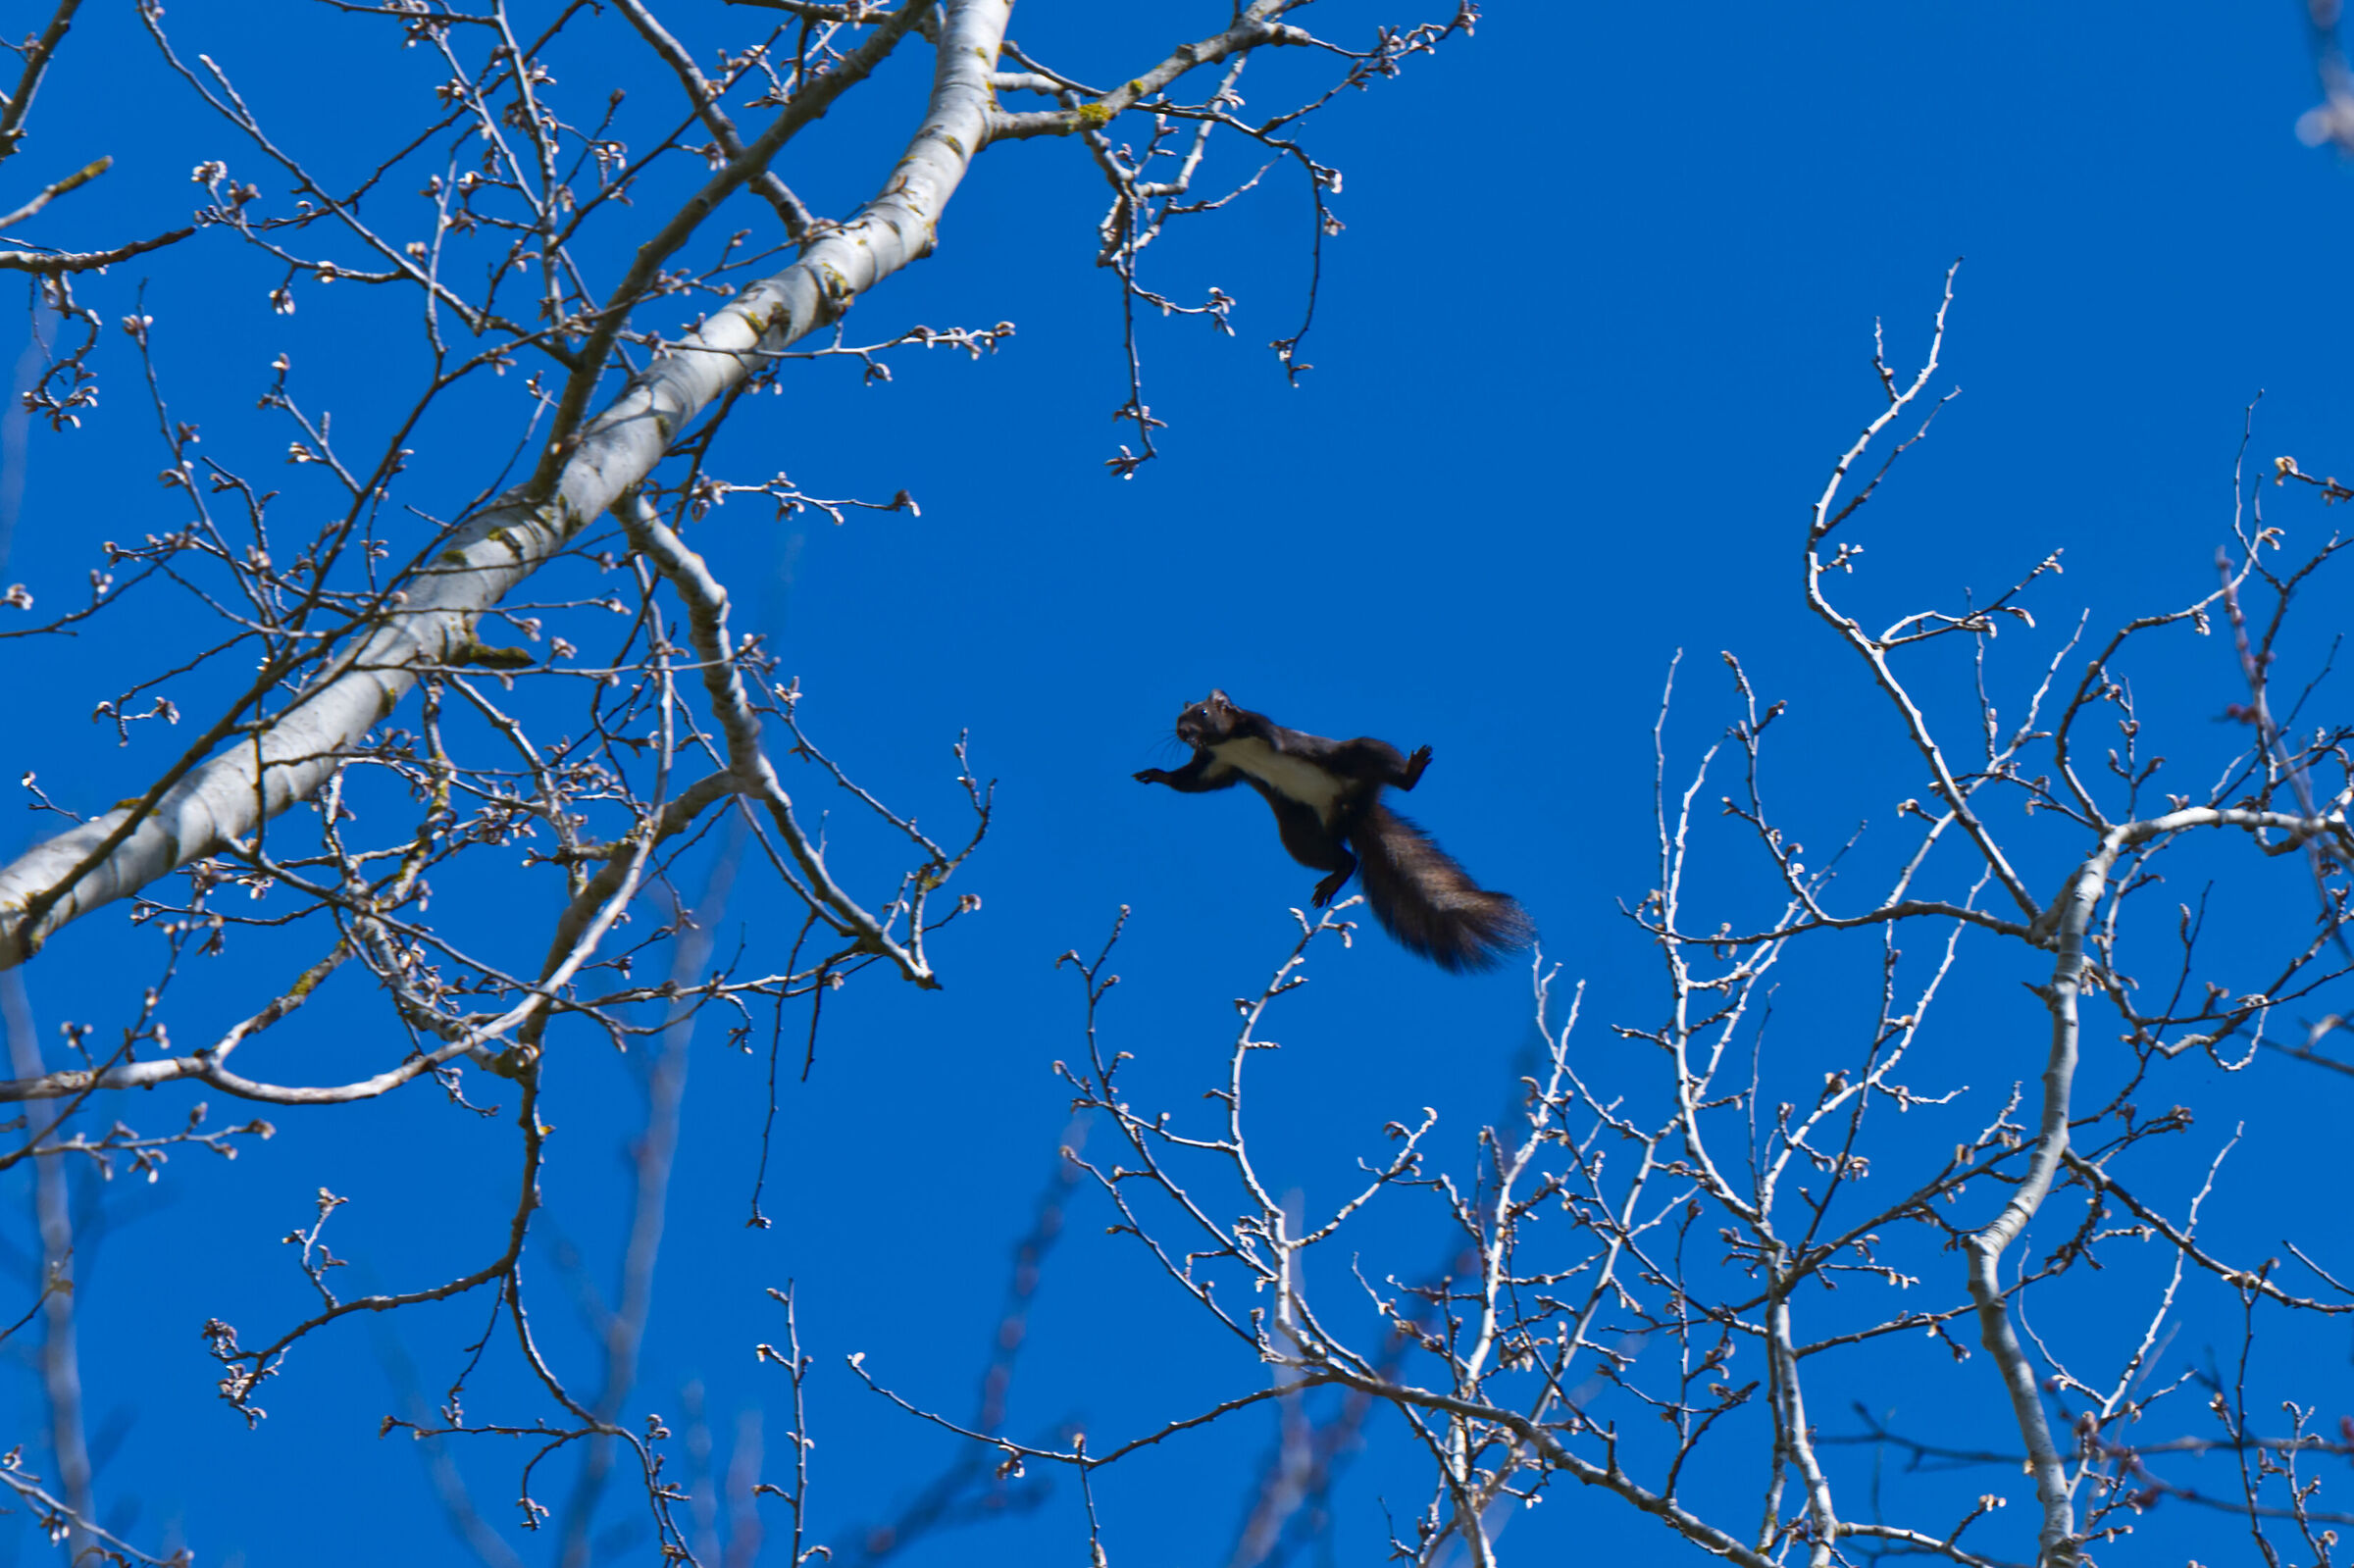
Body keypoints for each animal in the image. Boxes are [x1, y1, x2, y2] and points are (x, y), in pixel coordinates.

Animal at [1133, 690, 1534, 973]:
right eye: (1179, 717)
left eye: (1203, 712)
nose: (1183, 732)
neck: (1225, 742)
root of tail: (1352, 810)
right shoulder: (1217, 764)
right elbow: (1191, 782)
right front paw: (1156, 774)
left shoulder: (1254, 724)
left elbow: (1269, 734)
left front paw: (1271, 743)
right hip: (1300, 834)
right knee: (1342, 857)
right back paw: (1334, 877)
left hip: (1357, 754)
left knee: (1386, 772)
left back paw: (1411, 771)